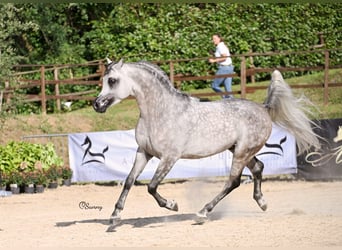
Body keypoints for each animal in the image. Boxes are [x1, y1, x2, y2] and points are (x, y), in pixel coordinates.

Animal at [92, 58, 320, 230]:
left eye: (112, 80)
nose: (97, 105)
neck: (160, 112)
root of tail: (263, 108)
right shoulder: (144, 152)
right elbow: (129, 181)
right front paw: (114, 217)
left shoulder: (169, 157)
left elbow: (151, 186)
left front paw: (172, 205)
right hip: (240, 150)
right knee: (258, 168)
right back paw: (262, 202)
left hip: (242, 152)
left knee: (233, 181)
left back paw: (202, 213)